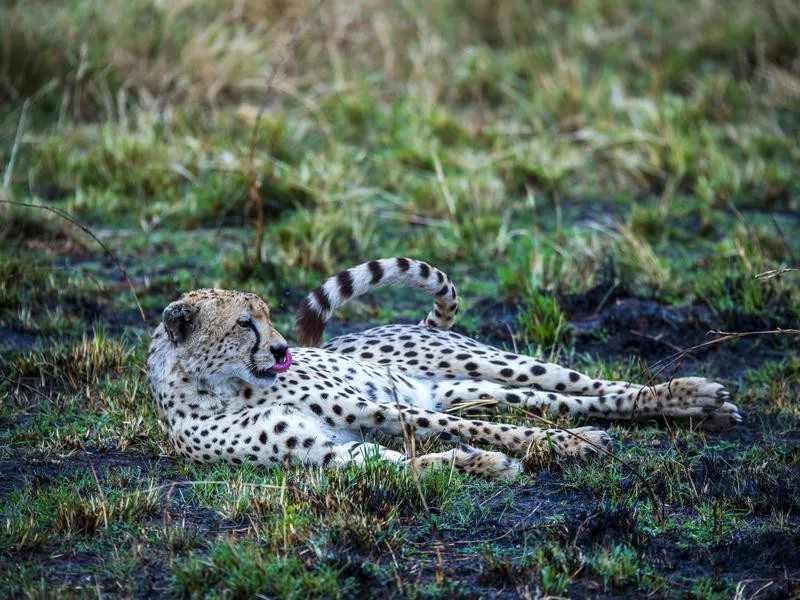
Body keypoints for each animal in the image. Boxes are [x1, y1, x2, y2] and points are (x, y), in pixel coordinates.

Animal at [147, 256, 740, 478]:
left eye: (269, 317)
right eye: (245, 323)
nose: (281, 350)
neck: (218, 391)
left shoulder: (372, 408)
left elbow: (469, 431)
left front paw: (551, 449)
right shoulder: (323, 451)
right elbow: (401, 462)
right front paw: (481, 464)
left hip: (494, 363)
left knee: (591, 386)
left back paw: (689, 396)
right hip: (469, 387)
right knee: (563, 404)